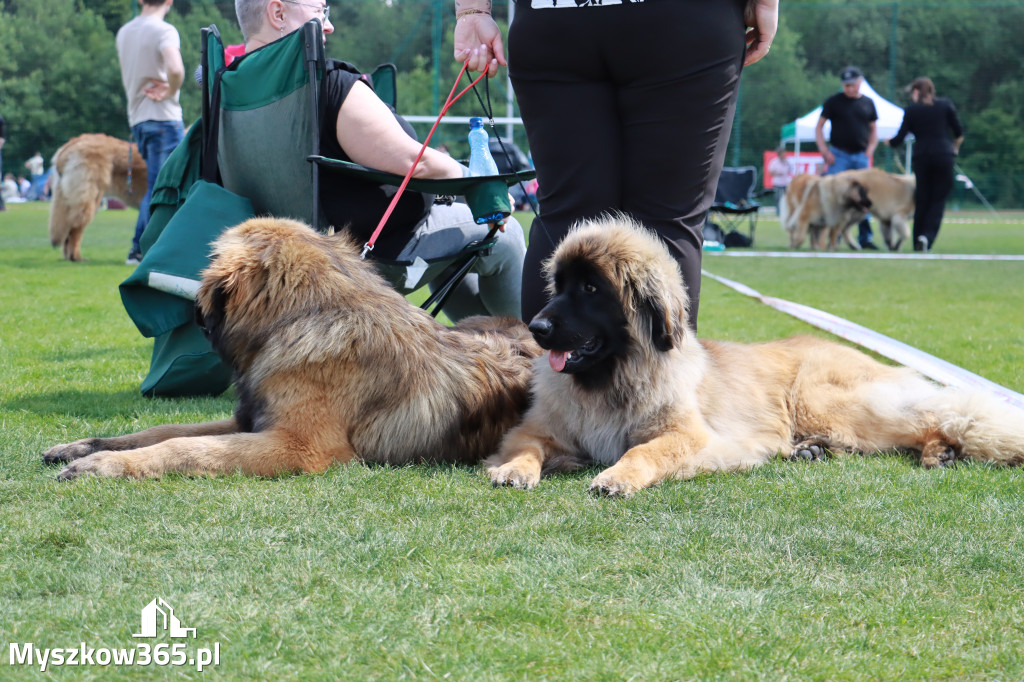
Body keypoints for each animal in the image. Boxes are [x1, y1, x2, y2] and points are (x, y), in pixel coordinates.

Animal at [46, 218, 544, 477]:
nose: (191, 309)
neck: (307, 318)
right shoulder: (248, 419)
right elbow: (162, 431)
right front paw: (84, 447)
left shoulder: (298, 445)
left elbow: (184, 448)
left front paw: (103, 465)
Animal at [485, 216, 1024, 493]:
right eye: (558, 286)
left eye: (591, 289)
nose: (537, 328)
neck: (611, 379)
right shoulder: (537, 429)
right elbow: (528, 447)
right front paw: (514, 471)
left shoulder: (685, 434)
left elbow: (643, 450)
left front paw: (616, 476)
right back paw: (813, 450)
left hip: (825, 402)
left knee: (930, 419)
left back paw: (938, 450)